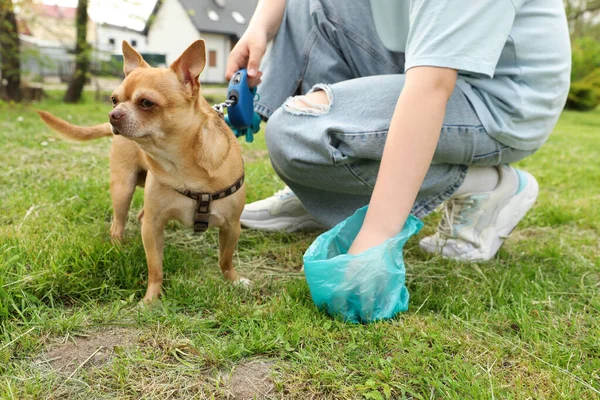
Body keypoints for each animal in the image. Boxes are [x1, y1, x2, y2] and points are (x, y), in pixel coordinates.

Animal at [38, 41, 248, 304]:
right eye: (113, 99)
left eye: (146, 103)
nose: (113, 114)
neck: (181, 164)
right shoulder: (153, 227)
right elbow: (155, 268)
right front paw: (151, 299)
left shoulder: (232, 226)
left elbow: (225, 258)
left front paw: (233, 280)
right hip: (123, 189)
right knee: (117, 226)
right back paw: (118, 250)